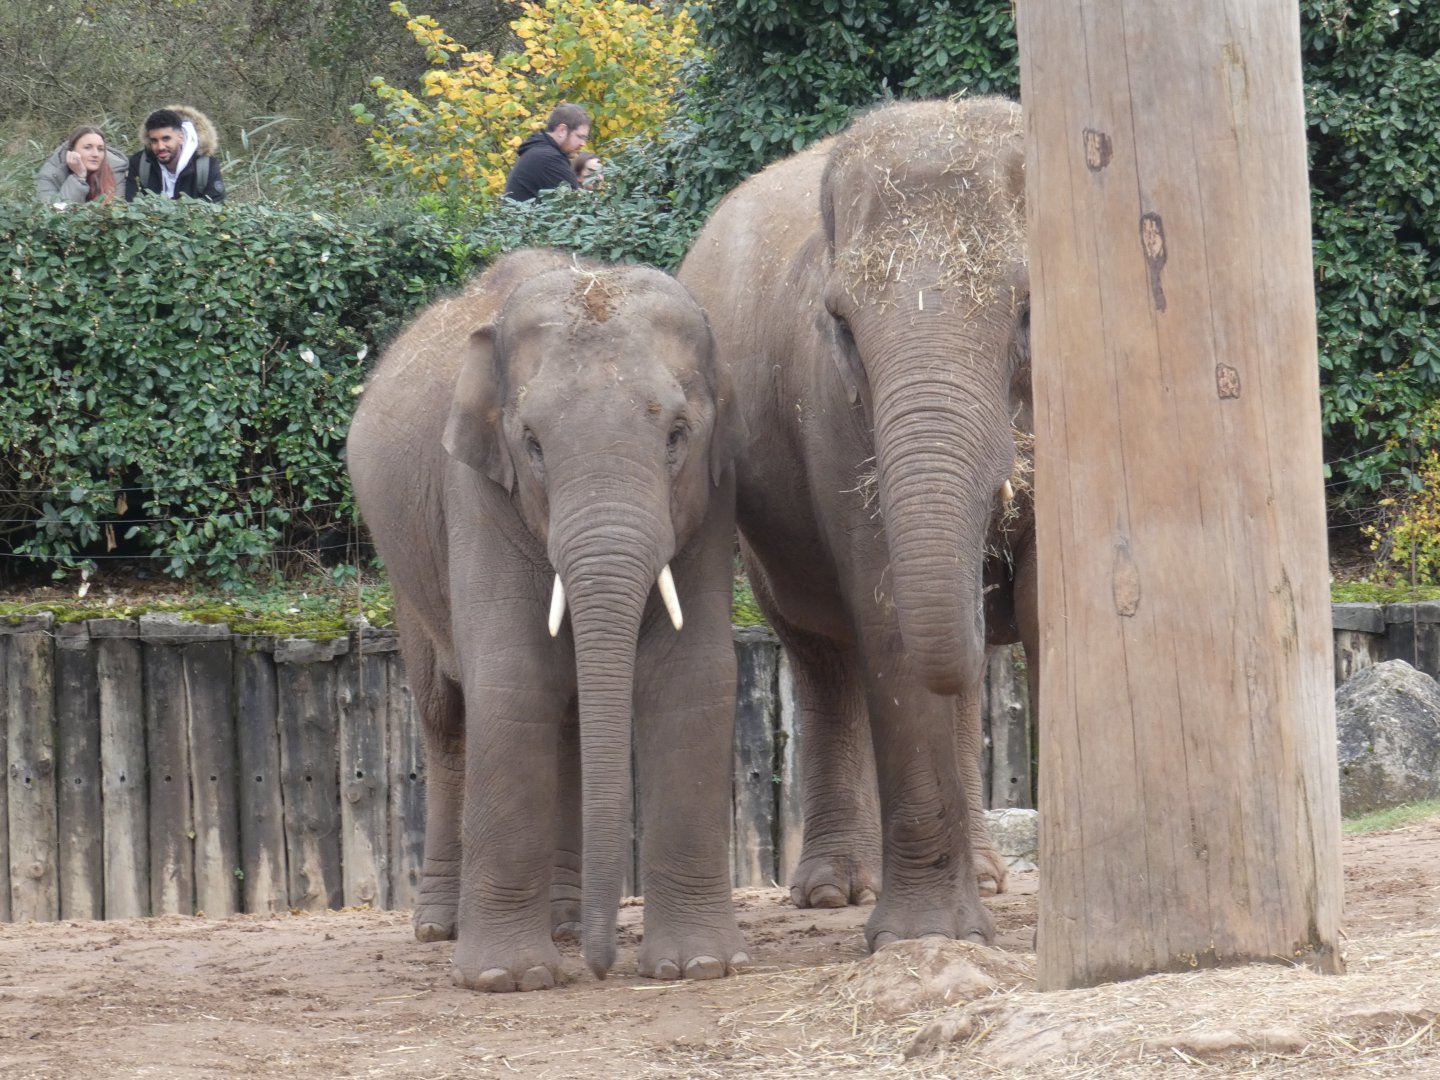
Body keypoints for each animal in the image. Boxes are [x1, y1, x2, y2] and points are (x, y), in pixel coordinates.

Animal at [347, 249, 750, 991]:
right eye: (532, 444)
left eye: (676, 436)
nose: (603, 968)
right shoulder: (476, 488)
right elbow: (514, 678)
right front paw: (506, 980)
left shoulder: (713, 493)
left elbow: (691, 675)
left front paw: (700, 966)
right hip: (402, 566)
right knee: (446, 720)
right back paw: (442, 929)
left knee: (568, 717)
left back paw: (561, 926)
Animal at [678, 97, 1032, 951]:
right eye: (839, 320)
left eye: (1029, 311)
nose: (989, 577)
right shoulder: (830, 408)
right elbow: (885, 606)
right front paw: (926, 939)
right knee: (821, 653)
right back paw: (836, 891)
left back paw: (987, 875)